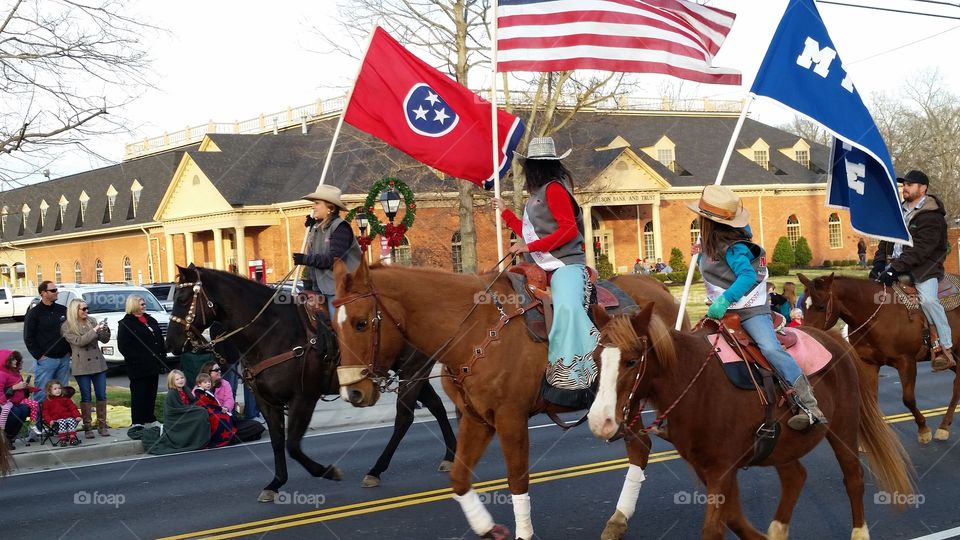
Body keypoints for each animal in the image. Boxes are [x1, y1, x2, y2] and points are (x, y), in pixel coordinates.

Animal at [165, 266, 458, 502]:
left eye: (182, 298)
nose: (171, 343)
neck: (271, 333)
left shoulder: (303, 398)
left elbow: (293, 445)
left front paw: (326, 471)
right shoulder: (267, 401)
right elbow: (277, 441)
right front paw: (275, 483)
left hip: (413, 369)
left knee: (404, 418)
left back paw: (376, 470)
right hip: (413, 372)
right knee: (436, 407)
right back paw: (450, 456)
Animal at [334, 260, 688, 536]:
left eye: (361, 323)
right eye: (334, 327)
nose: (352, 391)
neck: (475, 329)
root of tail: (658, 289)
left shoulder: (510, 418)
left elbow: (517, 481)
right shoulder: (476, 419)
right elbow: (459, 479)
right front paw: (488, 528)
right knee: (640, 447)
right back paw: (618, 520)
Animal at [584, 304, 916, 540]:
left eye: (631, 361)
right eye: (596, 358)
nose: (600, 421)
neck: (695, 382)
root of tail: (833, 339)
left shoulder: (721, 468)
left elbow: (714, 528)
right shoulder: (710, 468)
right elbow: (733, 517)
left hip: (842, 428)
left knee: (853, 478)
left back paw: (859, 532)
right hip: (783, 446)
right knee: (796, 477)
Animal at [800, 272, 960, 446]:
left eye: (821, 306)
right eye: (802, 305)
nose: (806, 335)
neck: (878, 316)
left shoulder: (906, 362)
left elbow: (908, 399)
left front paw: (923, 430)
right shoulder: (869, 364)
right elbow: (872, 400)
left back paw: (943, 428)